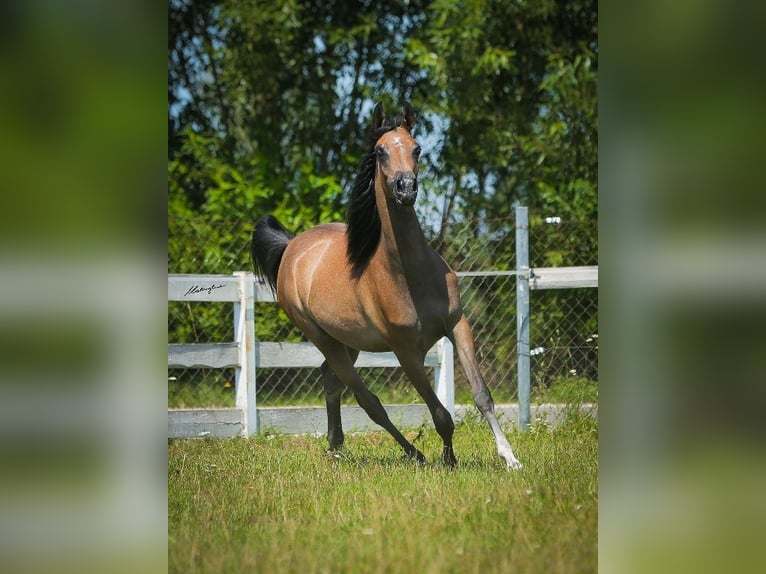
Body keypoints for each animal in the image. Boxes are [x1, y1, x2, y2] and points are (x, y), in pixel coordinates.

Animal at [250, 102, 520, 472]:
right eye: (380, 152)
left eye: (417, 148)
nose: (406, 188)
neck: (411, 274)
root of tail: (292, 248)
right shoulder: (406, 352)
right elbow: (440, 414)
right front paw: (448, 460)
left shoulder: (458, 325)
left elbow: (482, 396)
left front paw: (510, 457)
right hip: (324, 340)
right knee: (368, 401)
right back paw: (413, 454)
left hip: (346, 341)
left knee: (331, 381)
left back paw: (335, 446)